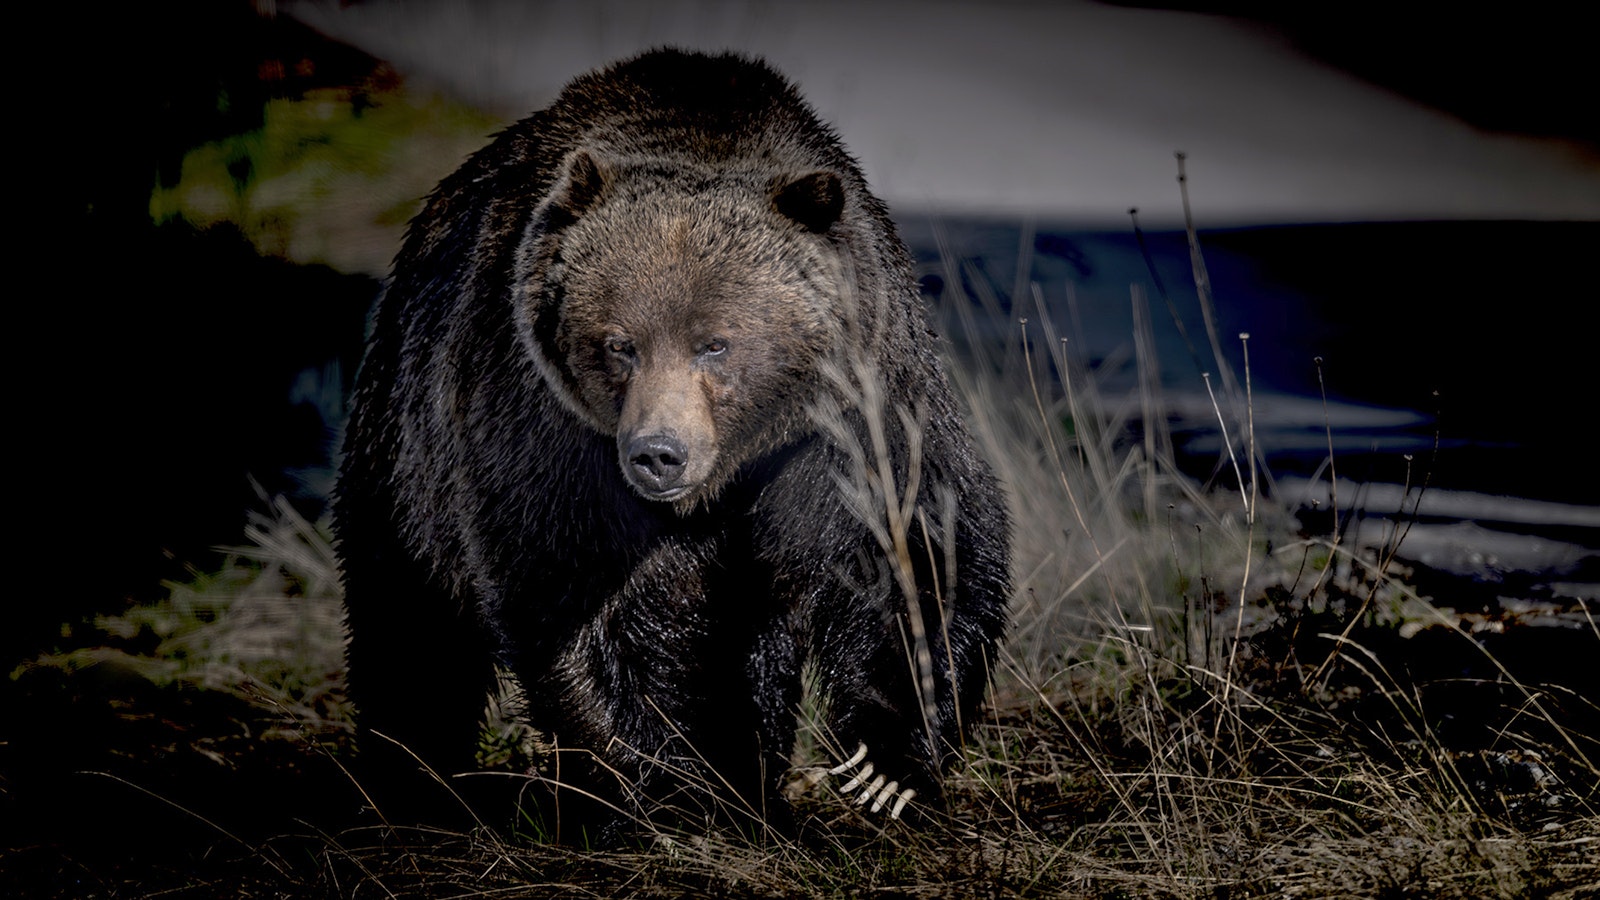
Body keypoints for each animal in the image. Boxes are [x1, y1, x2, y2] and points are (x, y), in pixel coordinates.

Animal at [334, 48, 1011, 839]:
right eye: (618, 343)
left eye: (714, 343)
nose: (659, 454)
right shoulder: (547, 431)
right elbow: (596, 608)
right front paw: (672, 786)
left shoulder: (855, 409)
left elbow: (913, 548)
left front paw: (881, 767)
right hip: (408, 433)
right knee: (407, 619)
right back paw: (414, 784)